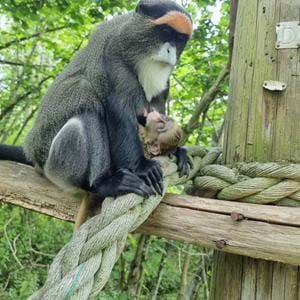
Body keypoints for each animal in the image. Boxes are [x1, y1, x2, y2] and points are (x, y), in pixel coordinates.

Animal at [0, 1, 192, 199]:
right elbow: (119, 109)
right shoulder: (113, 54)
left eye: (179, 39)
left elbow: (153, 107)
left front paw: (176, 150)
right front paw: (142, 167)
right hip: (54, 167)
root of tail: (32, 153)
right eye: (166, 32)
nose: (170, 51)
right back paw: (102, 185)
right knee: (88, 109)